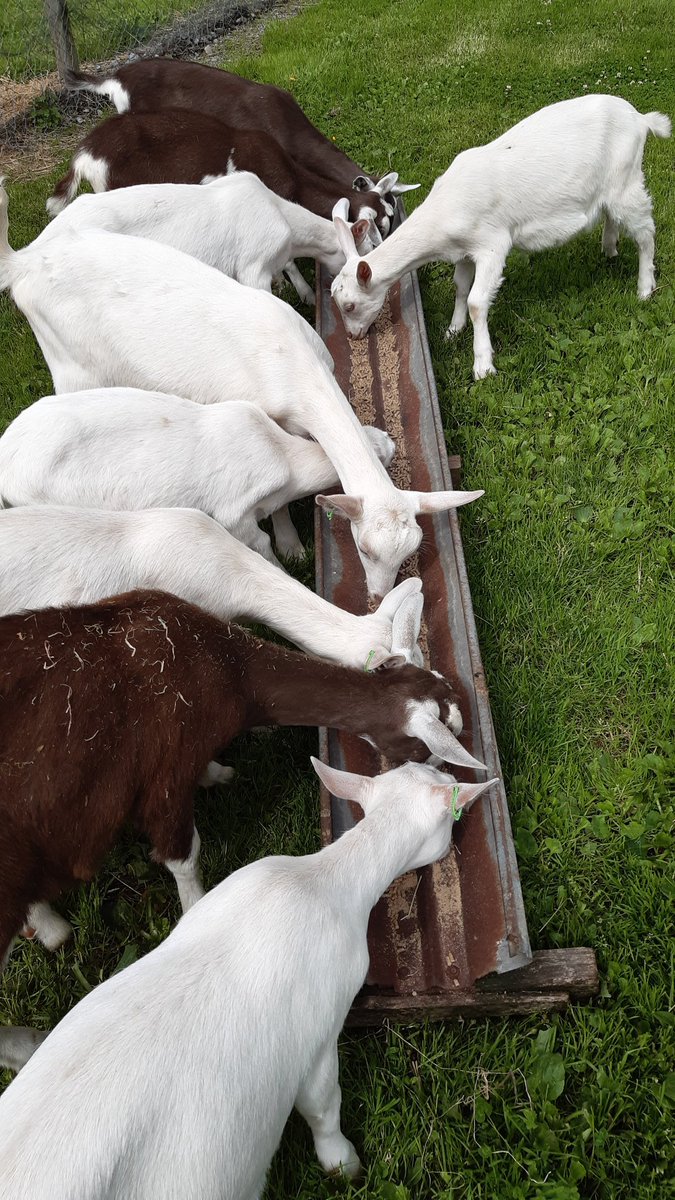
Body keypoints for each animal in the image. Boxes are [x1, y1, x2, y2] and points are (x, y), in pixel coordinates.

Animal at [0, 589, 487, 1072]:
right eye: (430, 749)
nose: (448, 775)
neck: (229, 671)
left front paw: (218, 774)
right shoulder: (166, 774)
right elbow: (183, 854)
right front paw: (195, 909)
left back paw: (45, 924)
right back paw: (31, 1036)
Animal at [329, 94, 671, 379]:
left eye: (350, 306)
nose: (354, 336)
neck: (443, 214)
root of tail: (641, 118)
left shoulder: (492, 244)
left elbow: (477, 301)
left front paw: (483, 365)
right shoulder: (463, 251)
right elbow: (460, 287)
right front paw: (453, 330)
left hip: (626, 182)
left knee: (646, 233)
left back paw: (645, 287)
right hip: (613, 188)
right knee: (613, 217)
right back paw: (610, 248)